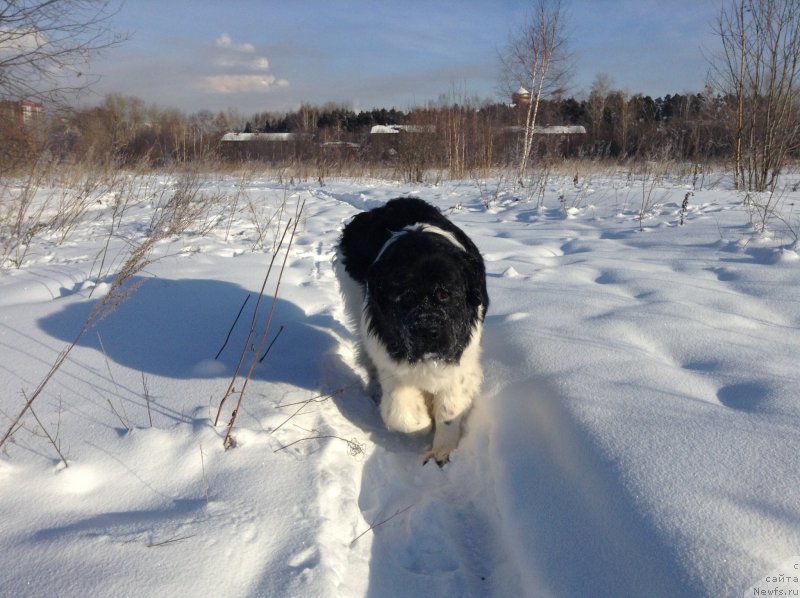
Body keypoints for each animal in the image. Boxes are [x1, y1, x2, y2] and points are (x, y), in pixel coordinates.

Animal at [332, 199, 488, 466]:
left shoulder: (462, 358)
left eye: (444, 294)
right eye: (404, 297)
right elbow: (400, 414)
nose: (427, 332)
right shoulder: (388, 357)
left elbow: (450, 409)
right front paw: (423, 422)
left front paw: (442, 450)